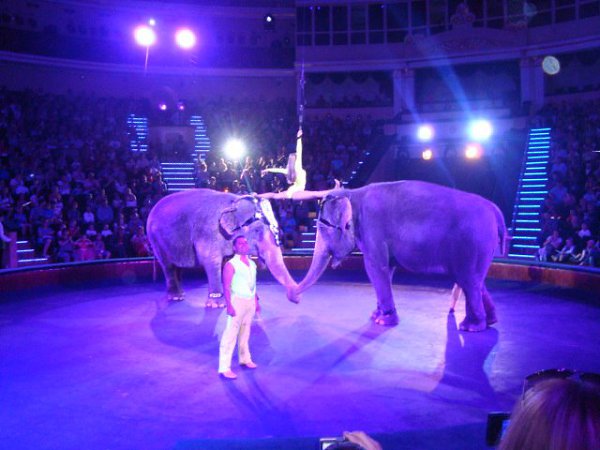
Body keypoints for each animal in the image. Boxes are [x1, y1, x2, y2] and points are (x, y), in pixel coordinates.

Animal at [146, 189, 298, 305]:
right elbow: (211, 261)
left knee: (176, 267)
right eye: (257, 231)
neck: (234, 202)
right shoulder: (209, 231)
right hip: (155, 240)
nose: (295, 299)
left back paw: (181, 294)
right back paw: (176, 297)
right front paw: (218, 305)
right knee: (168, 266)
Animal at [295, 180, 507, 332]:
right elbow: (386, 269)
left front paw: (383, 320)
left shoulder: (373, 227)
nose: (296, 300)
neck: (353, 193)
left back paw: (471, 327)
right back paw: (490, 321)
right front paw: (375, 315)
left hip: (472, 243)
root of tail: (495, 210)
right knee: (474, 280)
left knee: (468, 280)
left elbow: (374, 267)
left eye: (325, 228)